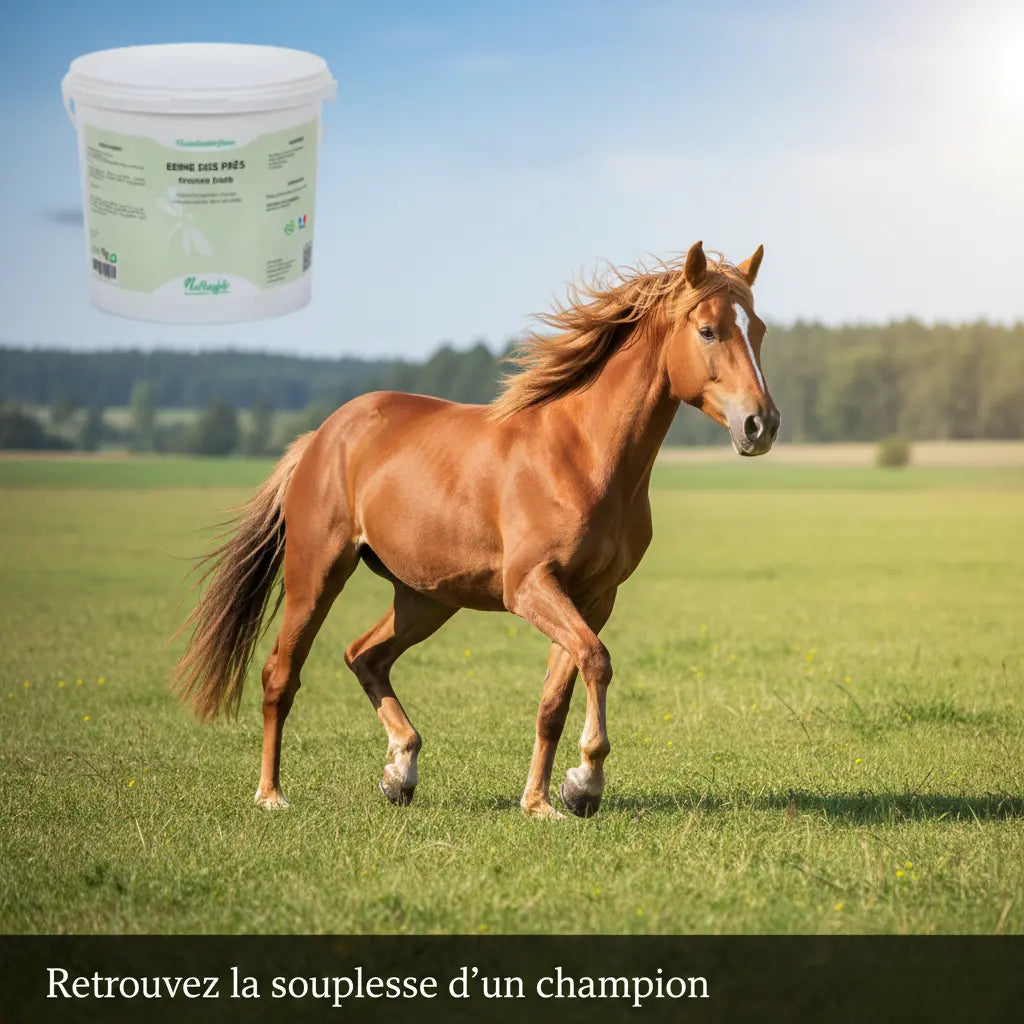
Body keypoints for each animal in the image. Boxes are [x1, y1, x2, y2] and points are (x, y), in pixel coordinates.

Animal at [173, 240, 780, 820]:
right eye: (708, 330)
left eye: (759, 330)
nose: (761, 424)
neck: (583, 456)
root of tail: (321, 437)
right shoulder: (530, 586)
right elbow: (597, 661)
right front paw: (583, 781)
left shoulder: (593, 595)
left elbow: (555, 699)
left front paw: (546, 799)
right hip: (316, 575)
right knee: (281, 674)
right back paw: (271, 795)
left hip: (425, 597)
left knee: (364, 655)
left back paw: (400, 771)